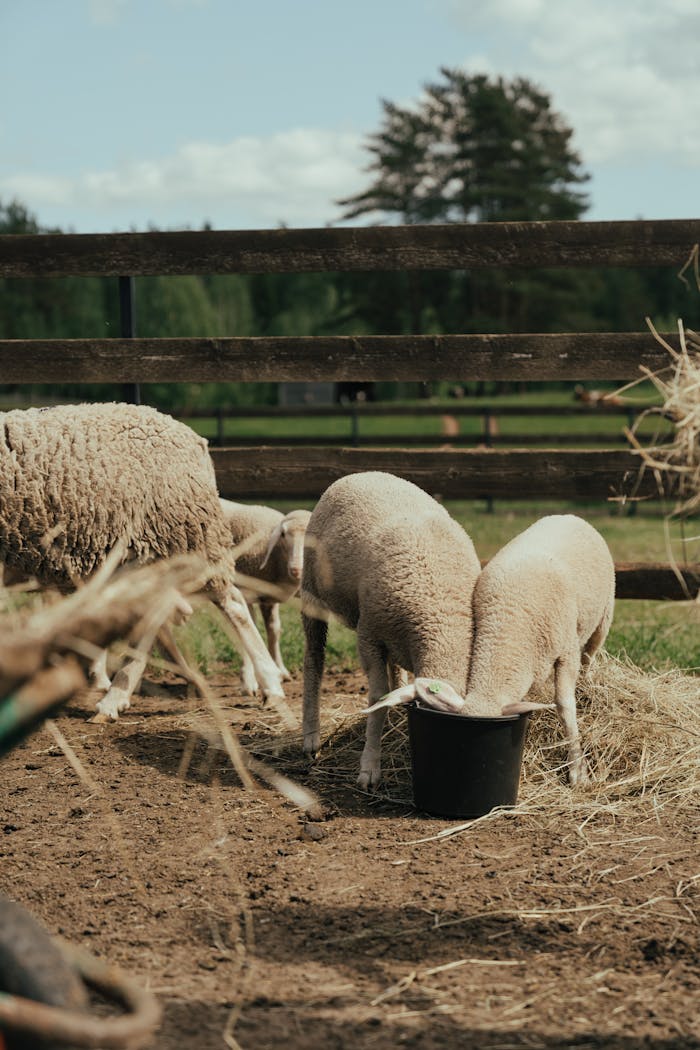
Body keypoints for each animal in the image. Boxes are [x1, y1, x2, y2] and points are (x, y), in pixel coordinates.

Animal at [0, 401, 285, 722]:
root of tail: (196, 440)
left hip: (185, 536)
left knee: (233, 604)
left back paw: (271, 684)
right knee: (151, 615)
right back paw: (116, 697)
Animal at [216, 501, 308, 692]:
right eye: (283, 534)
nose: (297, 570)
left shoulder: (269, 597)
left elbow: (274, 630)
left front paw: (281, 671)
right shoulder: (243, 592)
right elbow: (247, 628)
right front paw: (248, 681)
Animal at [302, 470, 482, 789]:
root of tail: (365, 472)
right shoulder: (369, 636)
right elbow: (377, 698)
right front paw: (369, 768)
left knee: (395, 667)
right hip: (313, 592)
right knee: (314, 660)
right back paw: (311, 737)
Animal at [375, 512, 617, 785]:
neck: (507, 621)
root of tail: (567, 515)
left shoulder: (566, 653)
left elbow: (565, 706)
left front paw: (577, 769)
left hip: (602, 618)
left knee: (589, 658)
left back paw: (589, 686)